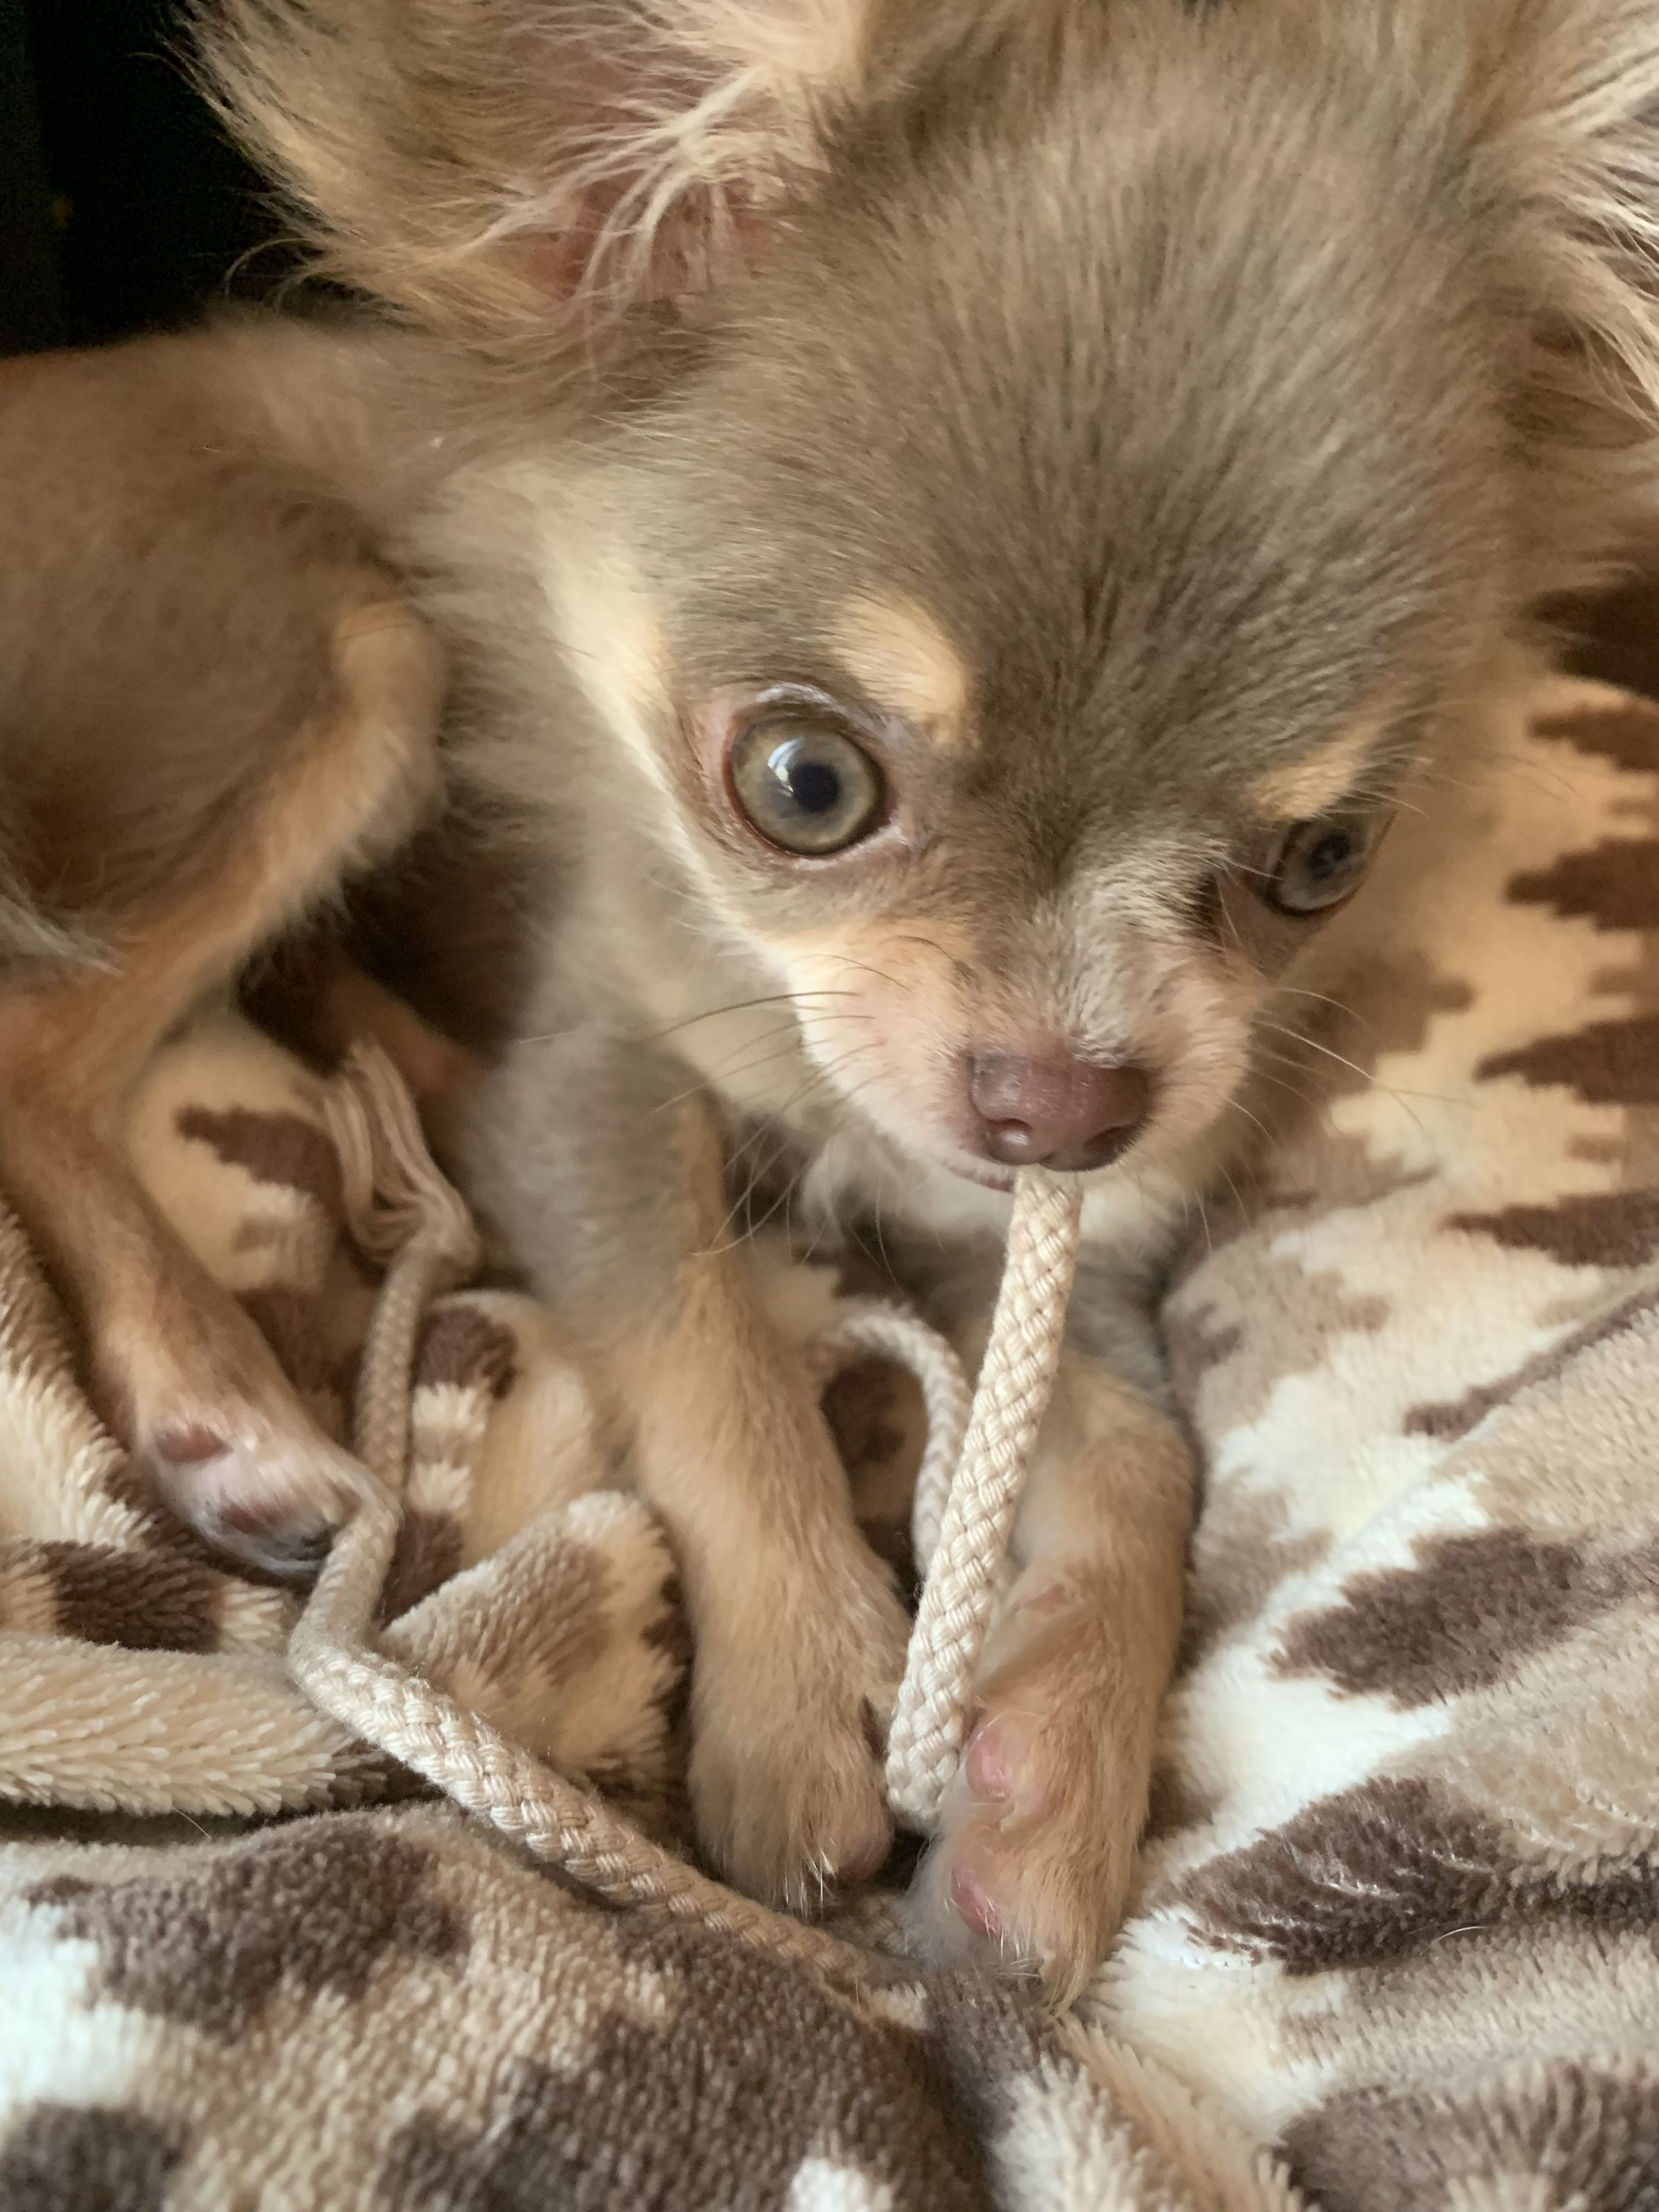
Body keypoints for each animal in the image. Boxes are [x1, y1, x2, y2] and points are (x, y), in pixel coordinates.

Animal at [4, 0, 1659, 1997]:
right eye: (803, 784)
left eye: (1325, 859)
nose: (1065, 1105)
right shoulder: (592, 1087)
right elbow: (706, 1343)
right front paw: (801, 1683)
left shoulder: (1027, 1233)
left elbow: (1143, 1455)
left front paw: (1052, 1784)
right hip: (347, 660)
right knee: (36, 1044)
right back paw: (215, 1401)